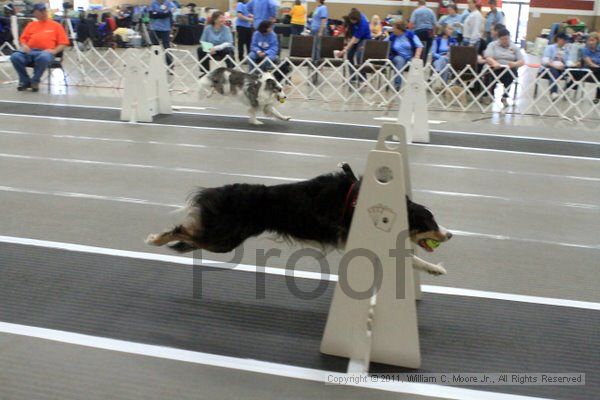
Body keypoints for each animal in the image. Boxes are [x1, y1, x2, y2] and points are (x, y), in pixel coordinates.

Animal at [148, 162, 452, 276]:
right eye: (430, 224)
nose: (449, 234)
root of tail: (220, 192)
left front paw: (433, 268)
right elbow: (407, 257)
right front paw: (436, 268)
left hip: (221, 237)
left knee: (190, 234)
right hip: (223, 239)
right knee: (183, 231)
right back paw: (154, 238)